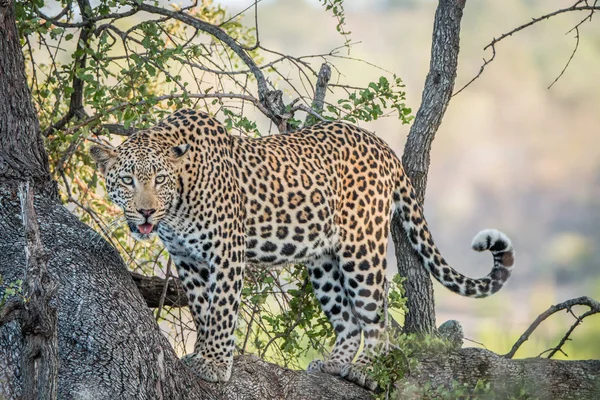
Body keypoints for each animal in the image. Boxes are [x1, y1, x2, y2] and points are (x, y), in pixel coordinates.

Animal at [91, 108, 512, 390]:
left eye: (159, 179)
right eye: (127, 180)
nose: (146, 211)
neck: (178, 203)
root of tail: (381, 145)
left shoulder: (226, 252)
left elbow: (222, 308)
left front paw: (214, 364)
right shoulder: (187, 259)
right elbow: (202, 310)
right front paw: (205, 353)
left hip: (361, 248)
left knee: (374, 316)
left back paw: (366, 368)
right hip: (323, 261)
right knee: (347, 319)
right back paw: (333, 364)